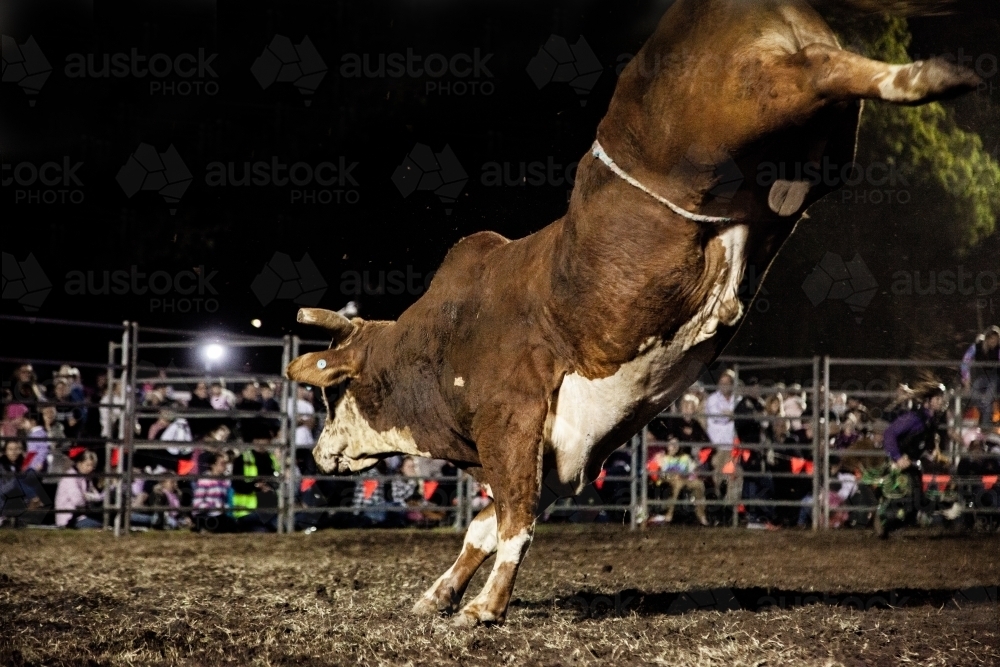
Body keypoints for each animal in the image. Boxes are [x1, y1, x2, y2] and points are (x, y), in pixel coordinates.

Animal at [286, 0, 980, 626]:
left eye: (330, 394)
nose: (316, 453)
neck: (439, 341)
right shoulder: (563, 453)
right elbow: (485, 526)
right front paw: (439, 596)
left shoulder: (510, 423)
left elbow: (512, 521)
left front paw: (484, 608)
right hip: (819, 141)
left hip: (750, 97)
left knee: (821, 73)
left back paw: (936, 74)